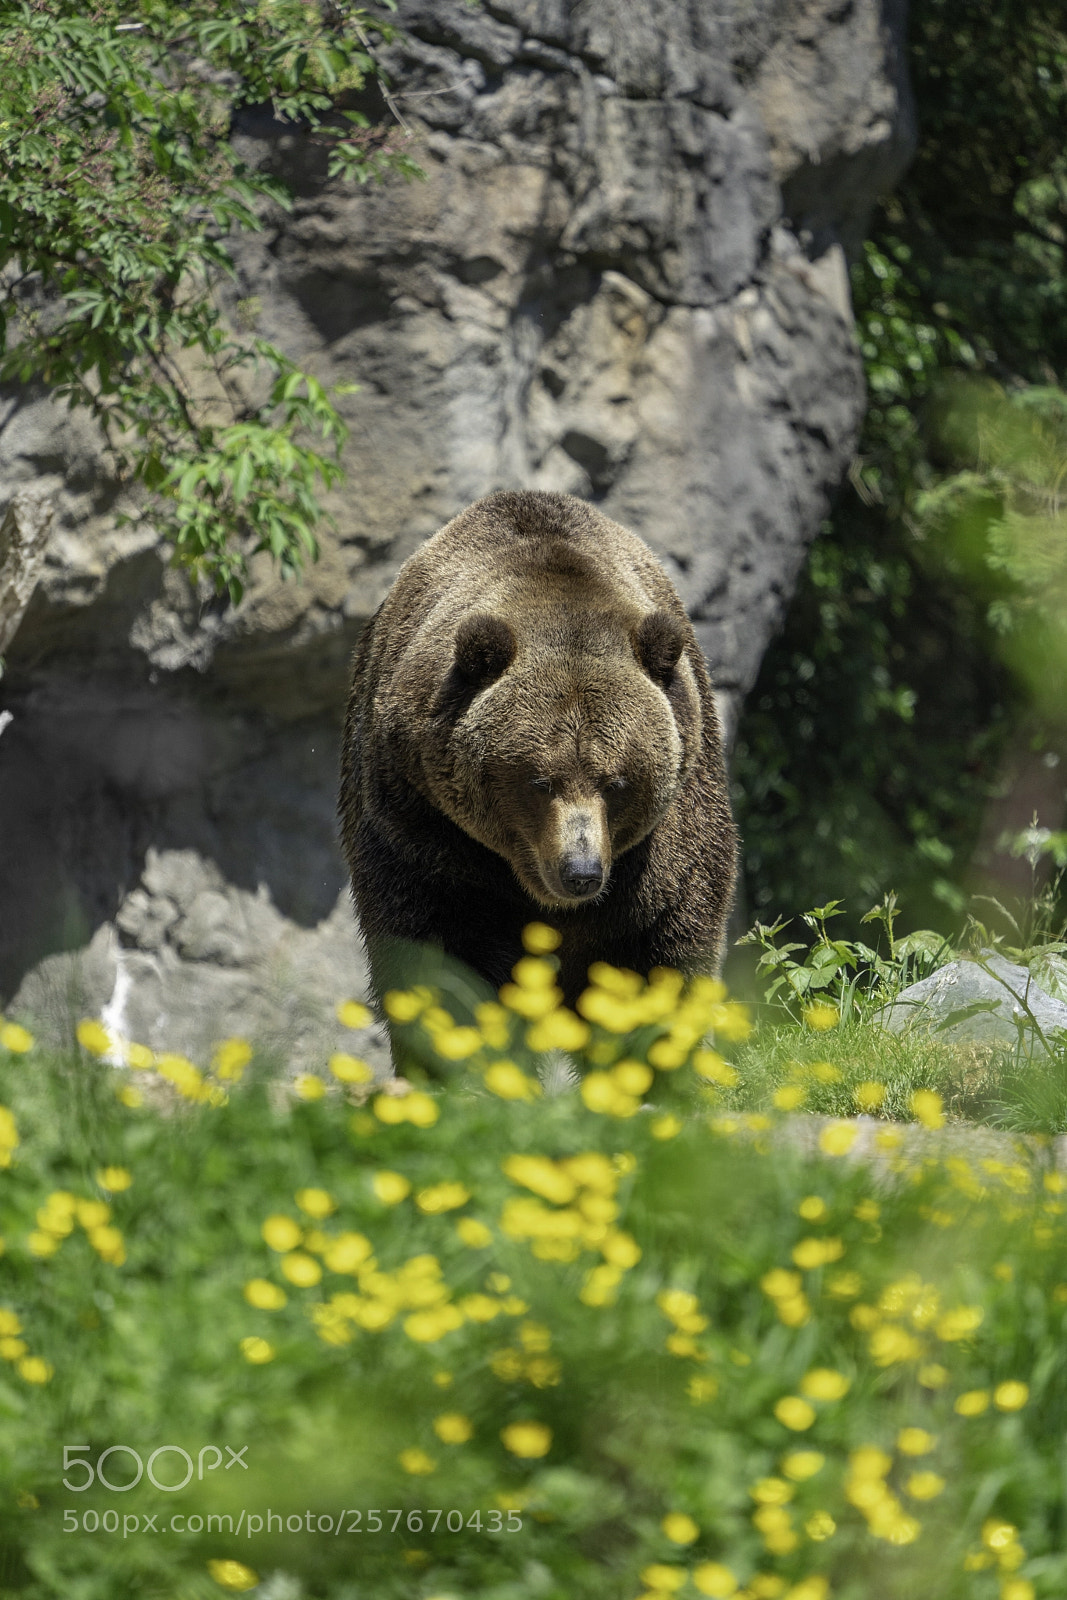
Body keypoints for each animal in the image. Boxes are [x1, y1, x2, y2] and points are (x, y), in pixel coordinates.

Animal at [339, 489, 737, 1015]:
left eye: (617, 782)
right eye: (539, 780)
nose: (580, 872)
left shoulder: (666, 840)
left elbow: (663, 944)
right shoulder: (423, 826)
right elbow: (436, 952)